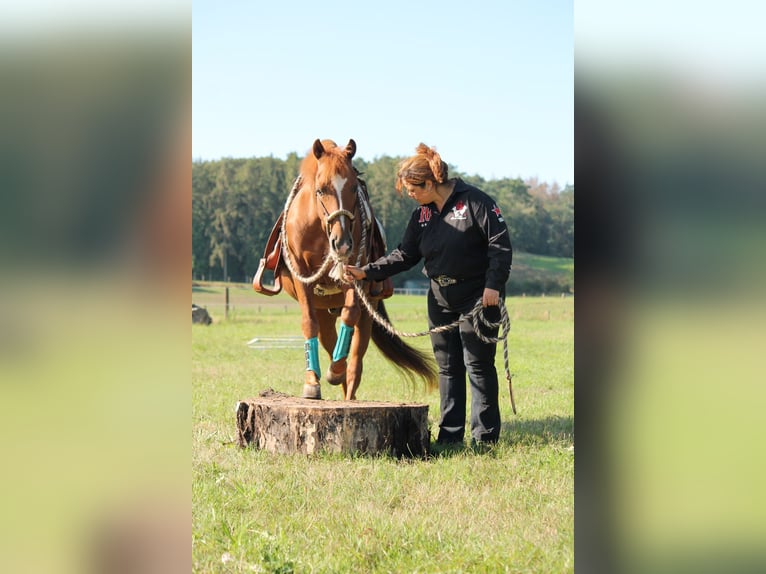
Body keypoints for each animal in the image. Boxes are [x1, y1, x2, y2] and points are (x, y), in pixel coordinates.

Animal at [274, 139, 438, 400]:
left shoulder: (354, 271)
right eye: (321, 189)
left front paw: (336, 370)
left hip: (367, 311)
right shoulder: (302, 275)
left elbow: (350, 315)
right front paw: (312, 383)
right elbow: (308, 323)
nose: (341, 243)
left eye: (353, 188)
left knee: (355, 361)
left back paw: (345, 382)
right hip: (324, 309)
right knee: (328, 339)